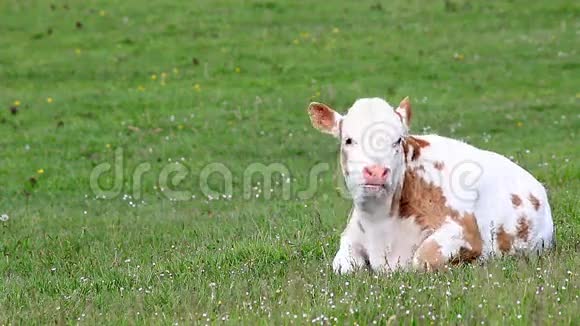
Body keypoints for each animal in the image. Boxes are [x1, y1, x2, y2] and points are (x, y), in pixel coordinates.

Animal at [306, 97, 556, 272]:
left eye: (398, 140)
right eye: (348, 140)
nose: (376, 171)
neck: (380, 222)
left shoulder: (465, 232)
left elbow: (422, 259)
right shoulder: (349, 241)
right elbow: (343, 268)